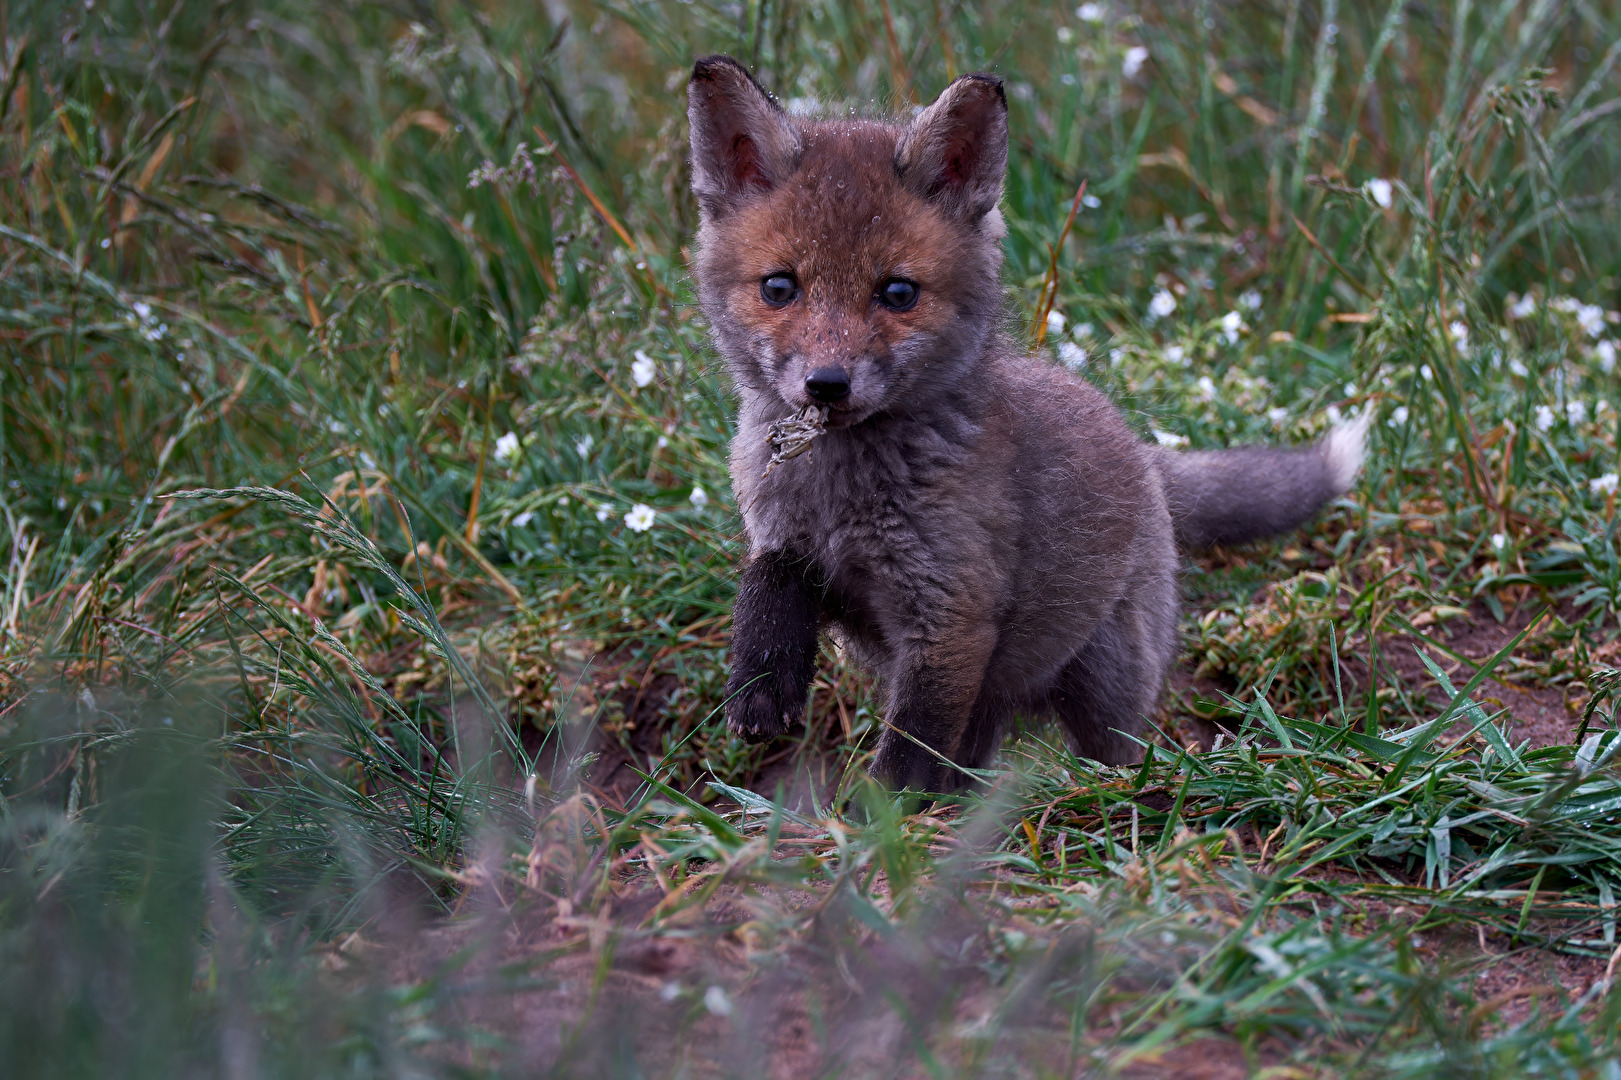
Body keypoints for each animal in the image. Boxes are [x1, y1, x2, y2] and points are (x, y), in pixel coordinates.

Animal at [684, 54, 1368, 788]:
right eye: (779, 288)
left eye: (897, 292)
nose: (827, 384)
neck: (843, 496)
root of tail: (1139, 448)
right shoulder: (798, 545)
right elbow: (767, 580)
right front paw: (761, 686)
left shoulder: (951, 615)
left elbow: (911, 747)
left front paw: (882, 811)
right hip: (998, 699)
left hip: (1105, 681)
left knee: (1115, 747)